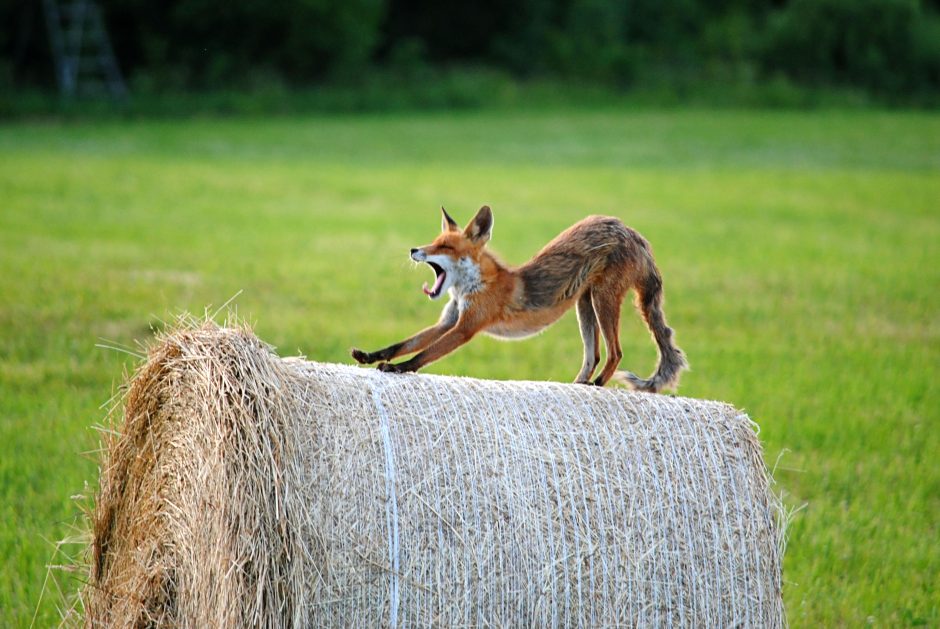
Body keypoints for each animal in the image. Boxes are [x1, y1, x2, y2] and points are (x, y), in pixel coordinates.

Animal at [348, 206, 688, 390]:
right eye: (434, 241)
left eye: (444, 246)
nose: (413, 250)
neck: (472, 286)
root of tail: (632, 232)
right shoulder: (448, 321)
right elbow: (402, 344)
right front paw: (369, 356)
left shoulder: (465, 327)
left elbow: (422, 356)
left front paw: (398, 369)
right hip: (584, 305)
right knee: (594, 355)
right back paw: (579, 385)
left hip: (603, 301)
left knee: (615, 352)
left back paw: (597, 385)